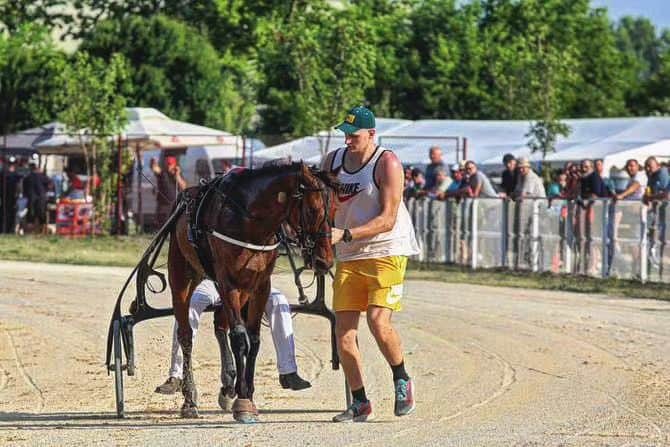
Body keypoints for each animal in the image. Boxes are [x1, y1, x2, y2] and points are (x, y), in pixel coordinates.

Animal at [166, 162, 338, 423]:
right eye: (312, 210)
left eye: (335, 209)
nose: (324, 261)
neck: (249, 221)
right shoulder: (228, 283)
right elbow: (239, 338)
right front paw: (243, 402)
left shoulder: (259, 286)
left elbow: (253, 339)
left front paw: (245, 393)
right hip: (182, 275)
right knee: (186, 335)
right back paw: (190, 399)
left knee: (220, 325)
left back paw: (228, 386)